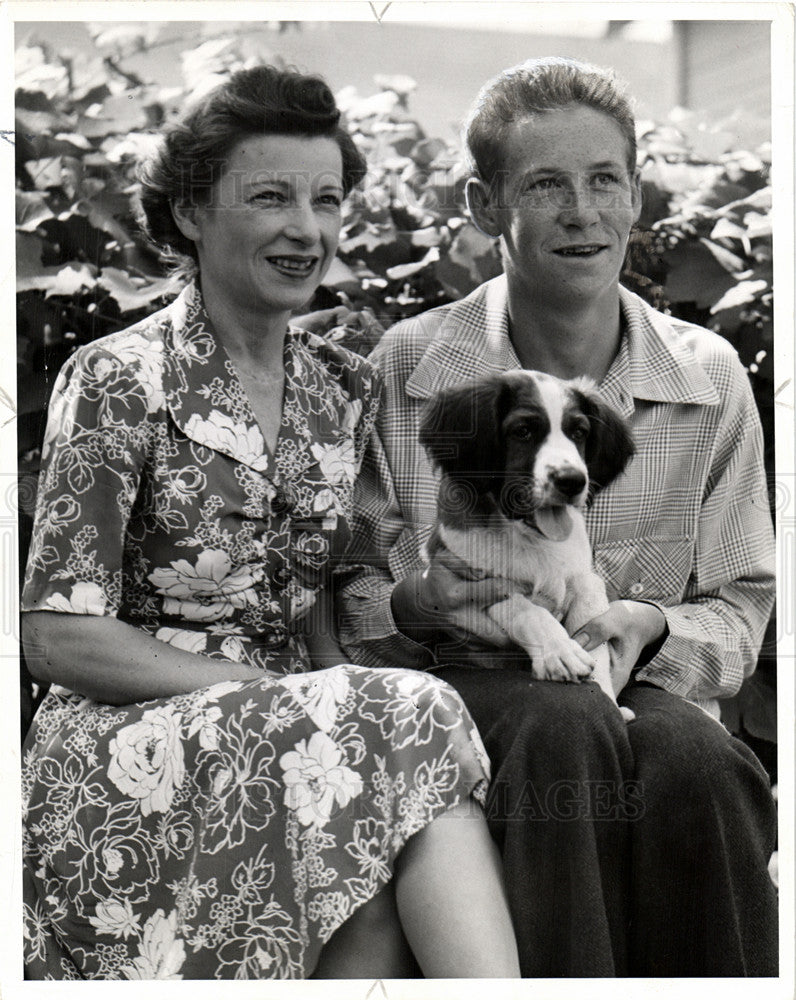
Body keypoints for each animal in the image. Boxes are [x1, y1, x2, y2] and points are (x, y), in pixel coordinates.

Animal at [420, 368, 636, 720]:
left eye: (579, 432)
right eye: (523, 431)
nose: (573, 481)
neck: (528, 538)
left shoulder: (586, 582)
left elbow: (596, 642)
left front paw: (605, 695)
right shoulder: (474, 579)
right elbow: (526, 609)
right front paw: (559, 650)